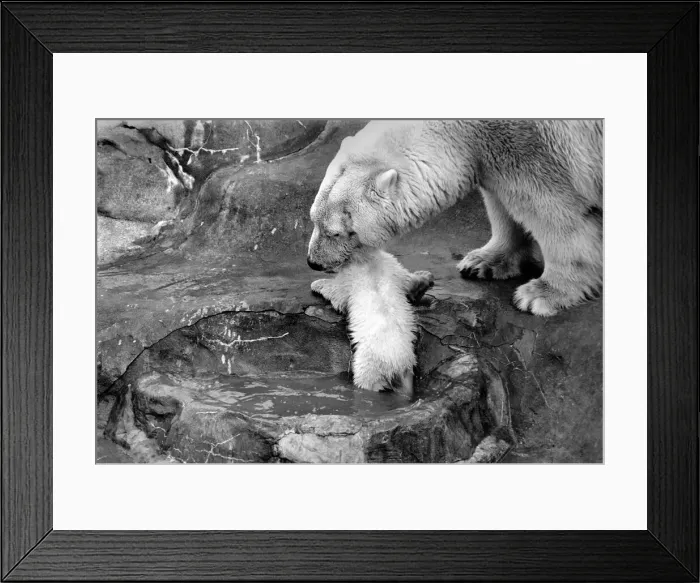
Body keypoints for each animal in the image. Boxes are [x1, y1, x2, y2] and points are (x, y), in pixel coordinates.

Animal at [306, 120, 603, 317]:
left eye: (336, 231)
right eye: (313, 219)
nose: (313, 262)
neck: (468, 127)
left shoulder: (536, 146)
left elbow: (553, 210)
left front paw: (542, 293)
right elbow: (502, 202)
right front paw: (483, 262)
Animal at [310, 246, 434, 396]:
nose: (317, 266)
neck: (365, 258)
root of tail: (396, 364)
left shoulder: (351, 278)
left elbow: (337, 293)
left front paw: (317, 284)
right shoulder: (391, 268)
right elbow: (407, 280)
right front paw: (425, 276)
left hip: (369, 365)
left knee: (367, 381)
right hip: (408, 365)